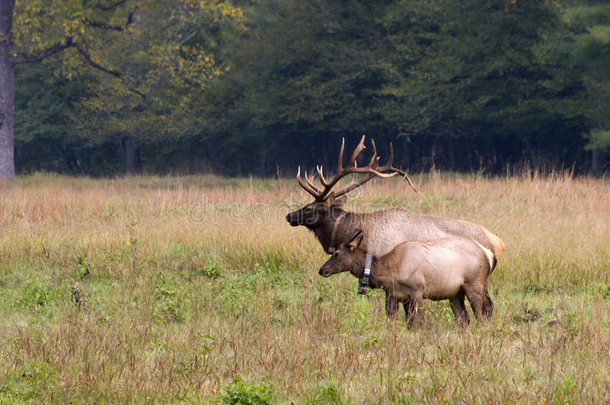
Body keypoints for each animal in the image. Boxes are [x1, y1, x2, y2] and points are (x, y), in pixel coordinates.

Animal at [318, 229, 494, 326]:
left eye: (336, 253)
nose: (322, 270)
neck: (388, 270)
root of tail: (488, 255)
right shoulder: (395, 295)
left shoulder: (417, 292)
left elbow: (414, 323)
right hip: (455, 293)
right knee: (464, 320)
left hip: (475, 285)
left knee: (483, 314)